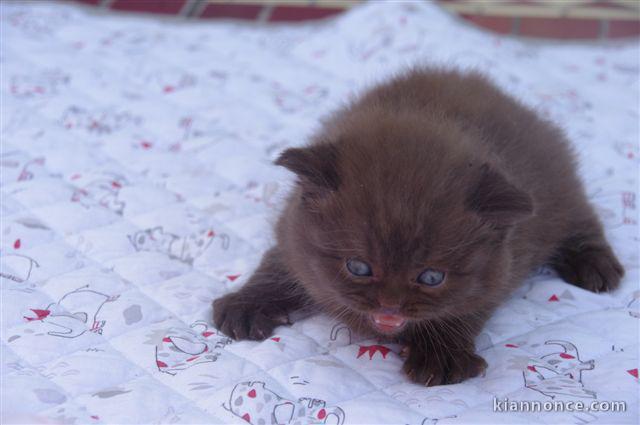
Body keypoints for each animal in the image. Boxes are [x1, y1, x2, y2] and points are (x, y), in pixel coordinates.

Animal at [212, 68, 624, 386]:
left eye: (431, 277)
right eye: (358, 267)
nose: (390, 306)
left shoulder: (504, 263)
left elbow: (464, 307)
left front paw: (441, 355)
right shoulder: (292, 234)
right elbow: (276, 267)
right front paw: (245, 306)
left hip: (558, 190)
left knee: (581, 220)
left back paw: (597, 267)